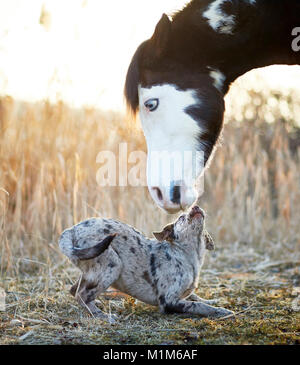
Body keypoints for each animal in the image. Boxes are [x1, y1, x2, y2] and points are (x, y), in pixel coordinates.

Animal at [59, 206, 234, 320]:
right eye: (181, 218)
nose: (196, 206)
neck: (189, 256)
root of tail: (71, 230)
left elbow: (196, 297)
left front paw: (213, 300)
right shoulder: (168, 301)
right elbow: (197, 306)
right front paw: (221, 311)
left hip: (91, 270)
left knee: (74, 290)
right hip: (112, 264)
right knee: (82, 295)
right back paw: (102, 316)